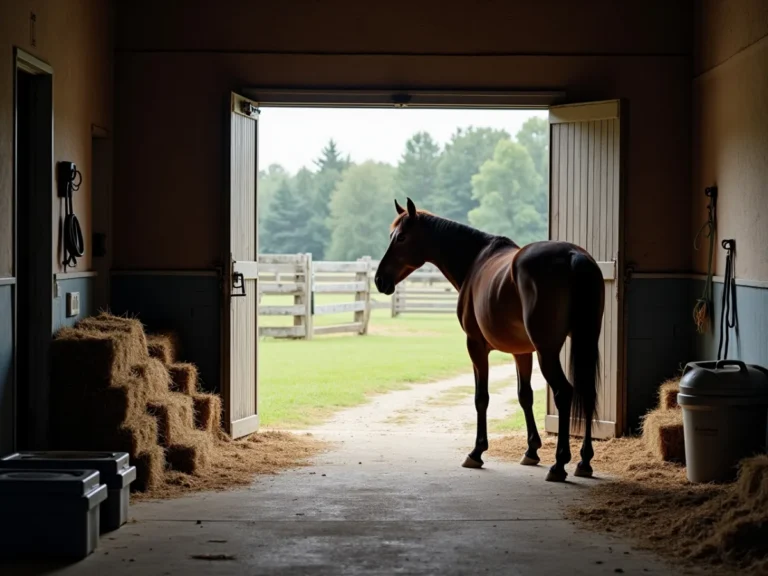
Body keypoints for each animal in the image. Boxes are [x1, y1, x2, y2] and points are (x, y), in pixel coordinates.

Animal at [374, 198, 605, 482]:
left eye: (402, 237)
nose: (379, 280)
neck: (475, 260)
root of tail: (574, 256)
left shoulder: (476, 346)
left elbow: (481, 398)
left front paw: (477, 452)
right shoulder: (521, 352)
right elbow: (524, 395)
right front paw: (531, 450)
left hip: (548, 351)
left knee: (564, 392)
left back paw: (560, 464)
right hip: (586, 340)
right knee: (588, 392)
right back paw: (584, 461)